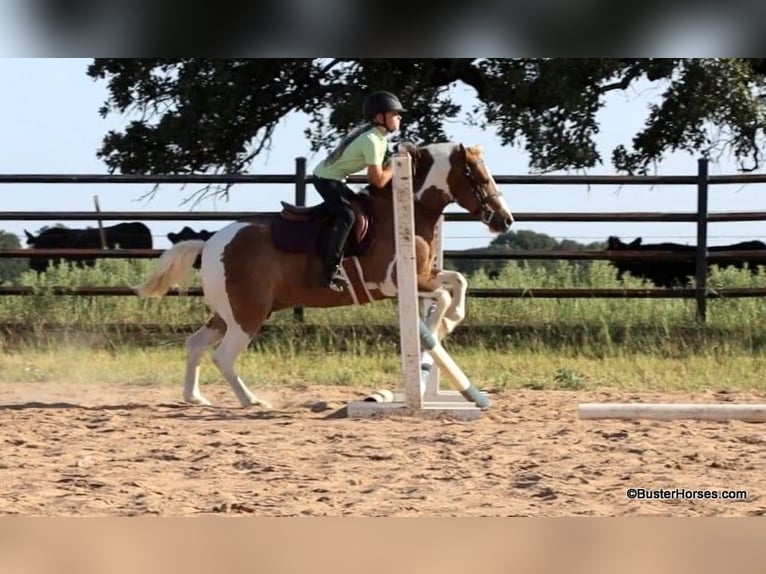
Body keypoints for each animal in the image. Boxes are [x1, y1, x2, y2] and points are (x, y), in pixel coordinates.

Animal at [135, 141, 516, 408]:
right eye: (478, 176)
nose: (505, 220)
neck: (408, 208)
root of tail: (211, 241)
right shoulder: (395, 282)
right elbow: (444, 294)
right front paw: (444, 322)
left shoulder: (425, 275)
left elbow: (457, 282)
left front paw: (448, 321)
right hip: (248, 314)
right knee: (224, 356)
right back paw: (252, 401)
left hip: (229, 312)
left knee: (196, 344)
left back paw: (195, 397)